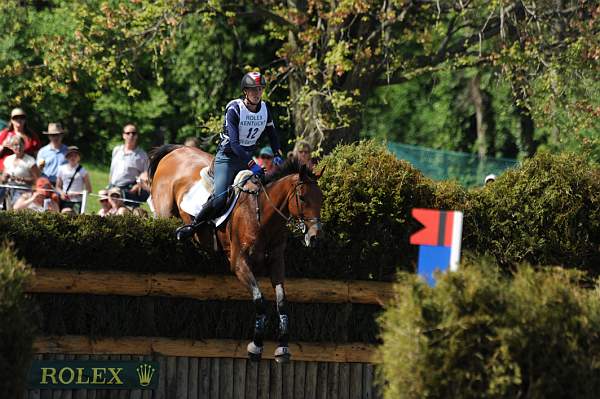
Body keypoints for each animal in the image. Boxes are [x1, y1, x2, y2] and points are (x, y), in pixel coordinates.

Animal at [148, 145, 324, 364]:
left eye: (322, 198)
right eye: (302, 198)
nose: (315, 236)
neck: (262, 214)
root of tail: (177, 149)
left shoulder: (276, 262)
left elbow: (281, 301)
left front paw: (283, 347)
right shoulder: (239, 263)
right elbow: (259, 300)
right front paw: (255, 347)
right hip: (163, 214)